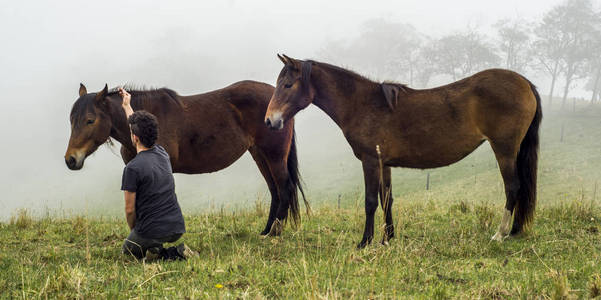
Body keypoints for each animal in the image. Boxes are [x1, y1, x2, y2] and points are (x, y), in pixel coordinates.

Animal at [66, 81, 310, 236]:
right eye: (71, 120)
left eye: (90, 120)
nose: (70, 159)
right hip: (260, 154)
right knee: (275, 190)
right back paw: (266, 230)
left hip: (274, 155)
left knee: (284, 187)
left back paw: (274, 233)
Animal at [264, 54, 540, 248]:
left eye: (287, 85)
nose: (269, 121)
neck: (363, 105)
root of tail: (525, 82)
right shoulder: (384, 163)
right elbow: (387, 199)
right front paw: (387, 238)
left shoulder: (370, 161)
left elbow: (370, 201)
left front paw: (365, 241)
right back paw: (514, 230)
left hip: (504, 149)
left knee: (513, 187)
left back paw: (500, 233)